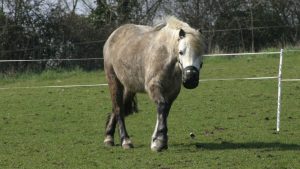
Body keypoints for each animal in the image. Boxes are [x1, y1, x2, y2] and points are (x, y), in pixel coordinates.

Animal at [102, 15, 204, 151]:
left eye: (201, 53)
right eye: (181, 52)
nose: (190, 78)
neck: (165, 56)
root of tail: (114, 35)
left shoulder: (172, 92)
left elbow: (164, 112)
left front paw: (157, 140)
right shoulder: (153, 87)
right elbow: (162, 106)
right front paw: (160, 141)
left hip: (129, 87)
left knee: (118, 107)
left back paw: (109, 137)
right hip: (113, 80)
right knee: (118, 108)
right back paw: (125, 140)